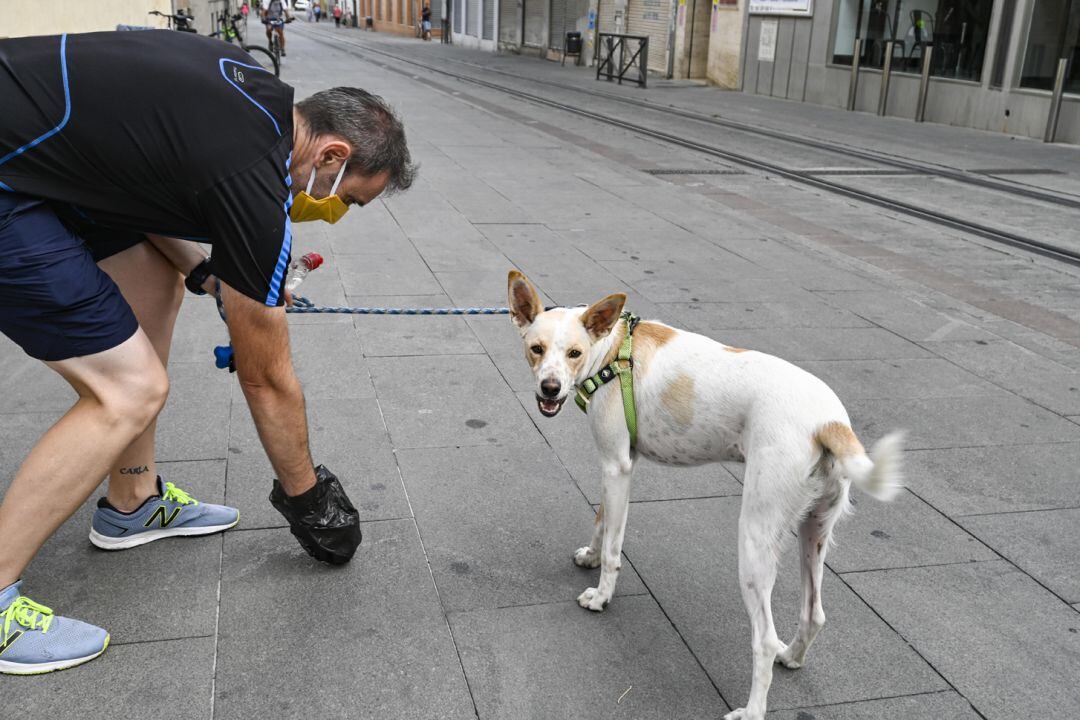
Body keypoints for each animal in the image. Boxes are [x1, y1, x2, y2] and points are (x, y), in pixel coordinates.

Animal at [505, 272, 902, 720]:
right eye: (536, 349)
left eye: (574, 353)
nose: (550, 388)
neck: (609, 353)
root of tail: (829, 422)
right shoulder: (619, 463)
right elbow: (601, 519)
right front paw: (589, 556)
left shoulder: (616, 466)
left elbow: (613, 548)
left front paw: (602, 595)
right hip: (813, 530)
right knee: (813, 614)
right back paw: (793, 657)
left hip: (755, 537)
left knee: (765, 638)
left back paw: (751, 710)